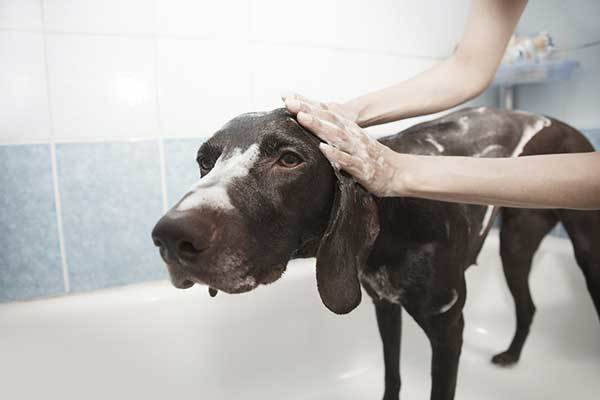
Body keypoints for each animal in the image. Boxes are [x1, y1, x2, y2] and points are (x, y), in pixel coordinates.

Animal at [151, 107, 600, 400]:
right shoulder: (384, 305)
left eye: (289, 159)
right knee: (527, 306)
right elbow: (393, 375)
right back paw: (512, 354)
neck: (396, 220)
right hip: (516, 246)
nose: (170, 237)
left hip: (571, 248)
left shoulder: (448, 329)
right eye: (204, 161)